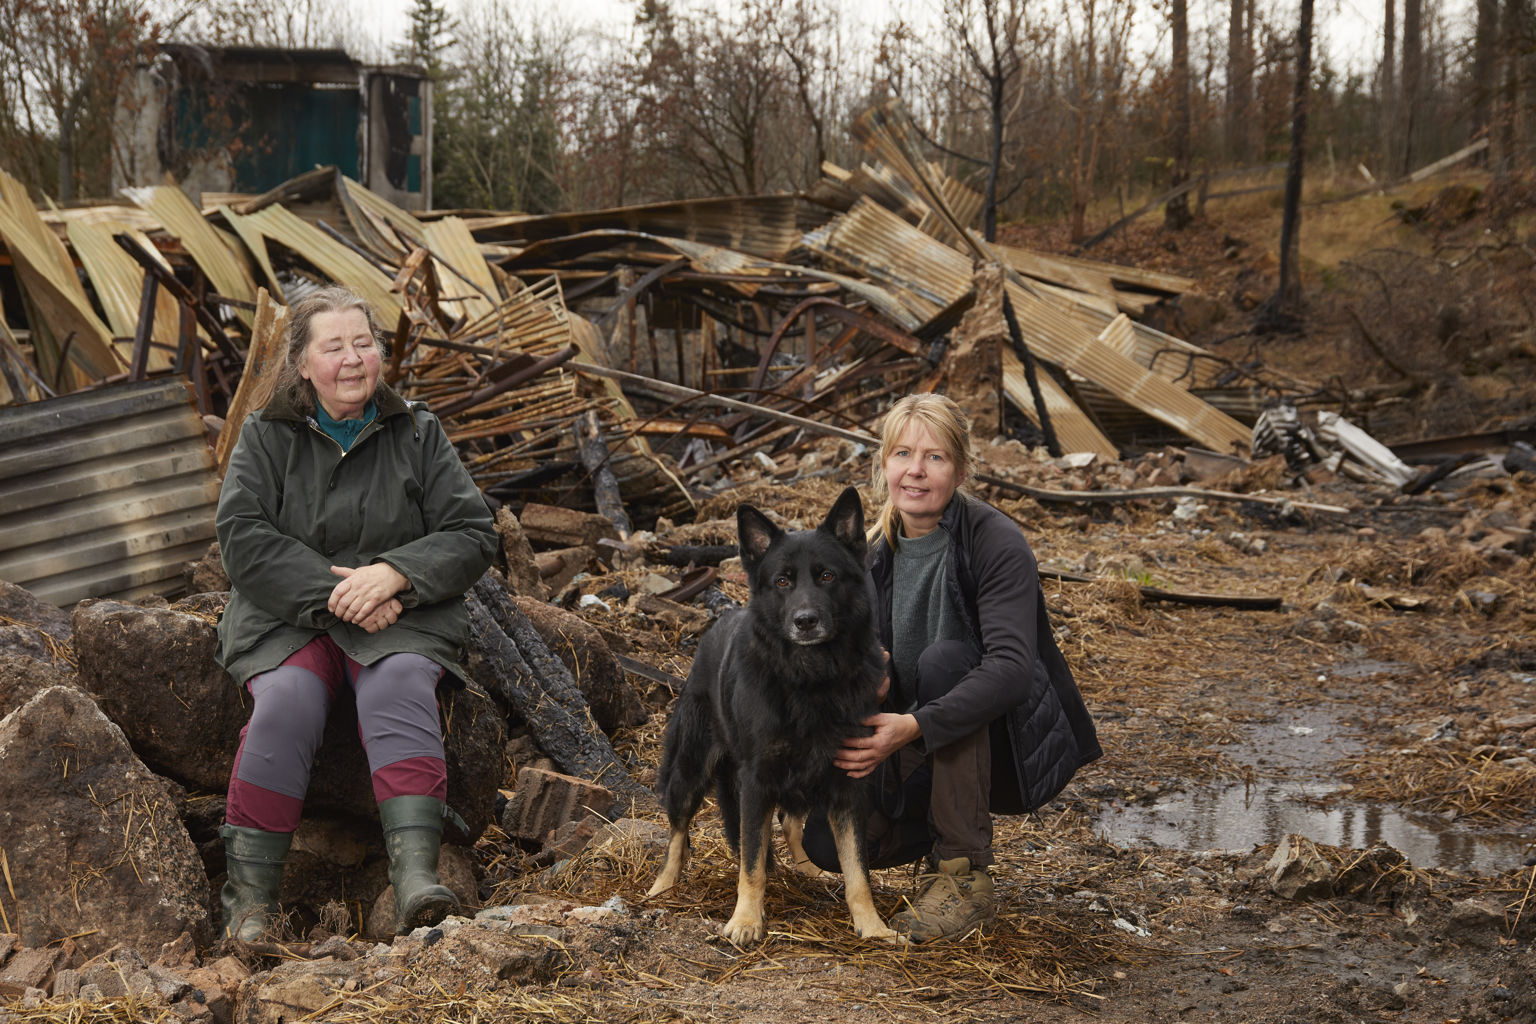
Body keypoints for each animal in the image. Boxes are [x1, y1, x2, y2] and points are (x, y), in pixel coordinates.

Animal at [642, 488, 897, 945]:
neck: (810, 680)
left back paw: (806, 868)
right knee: (678, 830)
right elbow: (751, 863)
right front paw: (745, 920)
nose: (805, 621)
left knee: (791, 821)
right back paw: (664, 885)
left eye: (827, 576)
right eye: (782, 582)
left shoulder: (846, 783)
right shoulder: (756, 782)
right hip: (690, 769)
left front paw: (871, 926)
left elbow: (857, 870)